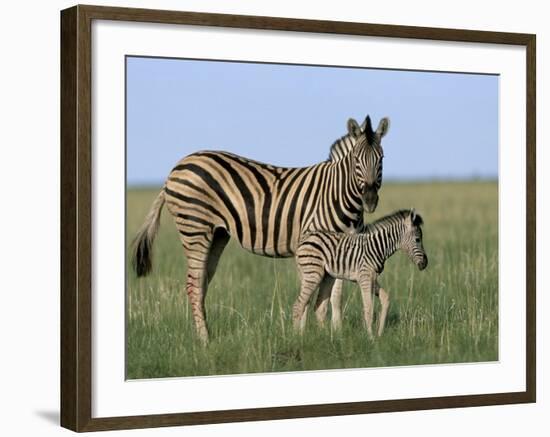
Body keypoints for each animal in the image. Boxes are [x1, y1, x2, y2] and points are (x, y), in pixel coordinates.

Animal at [133, 114, 392, 342]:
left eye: (381, 159)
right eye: (356, 159)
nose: (370, 200)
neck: (338, 194)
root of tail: (177, 167)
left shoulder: (344, 247)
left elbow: (336, 295)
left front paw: (336, 334)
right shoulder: (313, 243)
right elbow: (311, 295)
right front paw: (302, 335)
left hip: (217, 234)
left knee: (202, 282)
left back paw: (206, 334)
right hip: (195, 226)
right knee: (194, 285)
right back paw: (205, 341)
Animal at [296, 209, 430, 336]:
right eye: (417, 239)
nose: (425, 263)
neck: (377, 248)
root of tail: (304, 239)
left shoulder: (372, 279)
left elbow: (385, 299)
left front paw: (380, 333)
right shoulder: (364, 278)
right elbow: (369, 308)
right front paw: (370, 338)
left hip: (323, 276)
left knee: (315, 306)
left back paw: (322, 336)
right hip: (313, 273)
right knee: (299, 304)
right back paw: (297, 336)